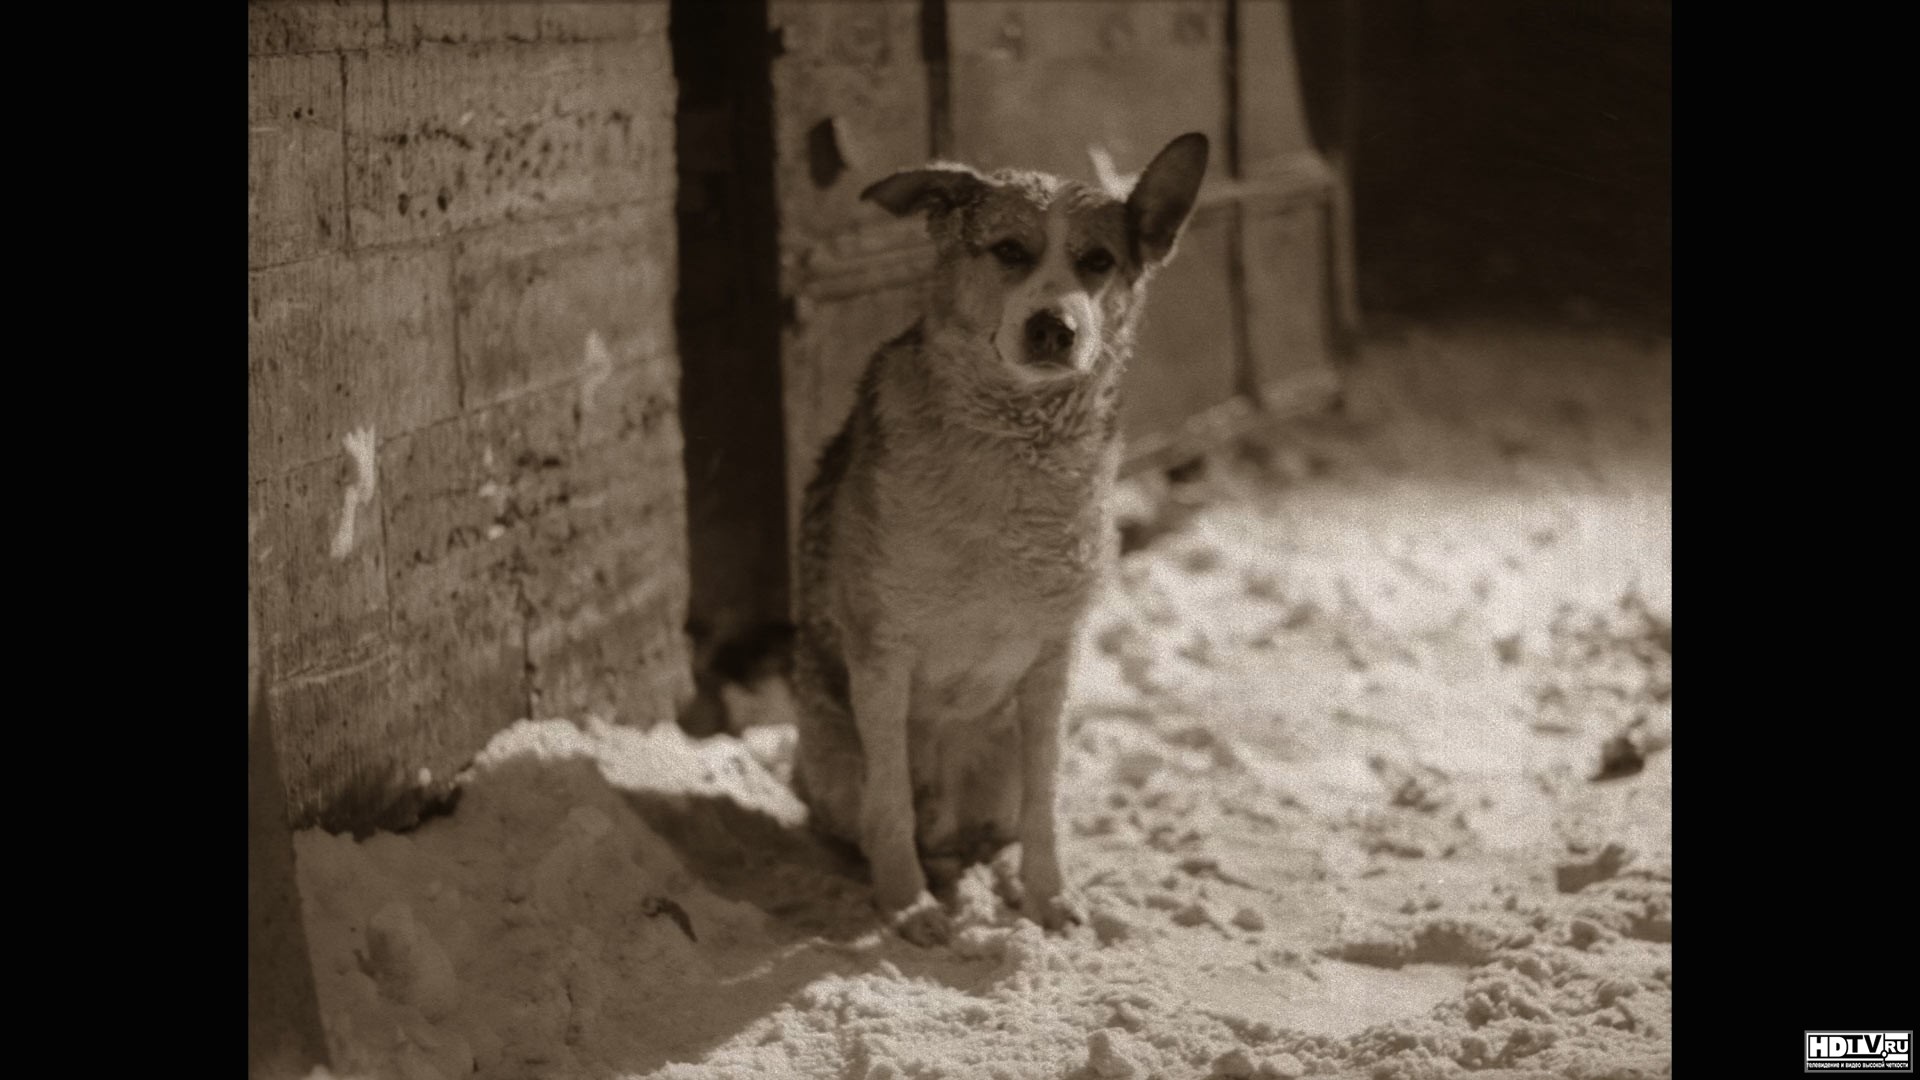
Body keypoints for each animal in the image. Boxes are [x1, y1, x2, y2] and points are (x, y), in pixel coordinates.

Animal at [787, 134, 1205, 941]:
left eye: (1098, 261)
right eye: (1009, 250)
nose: (1054, 327)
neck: (1017, 449)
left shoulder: (1051, 664)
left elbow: (1046, 804)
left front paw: (1048, 896)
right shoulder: (882, 652)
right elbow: (891, 802)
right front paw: (908, 904)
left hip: (999, 756)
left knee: (998, 827)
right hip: (830, 748)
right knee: (864, 817)